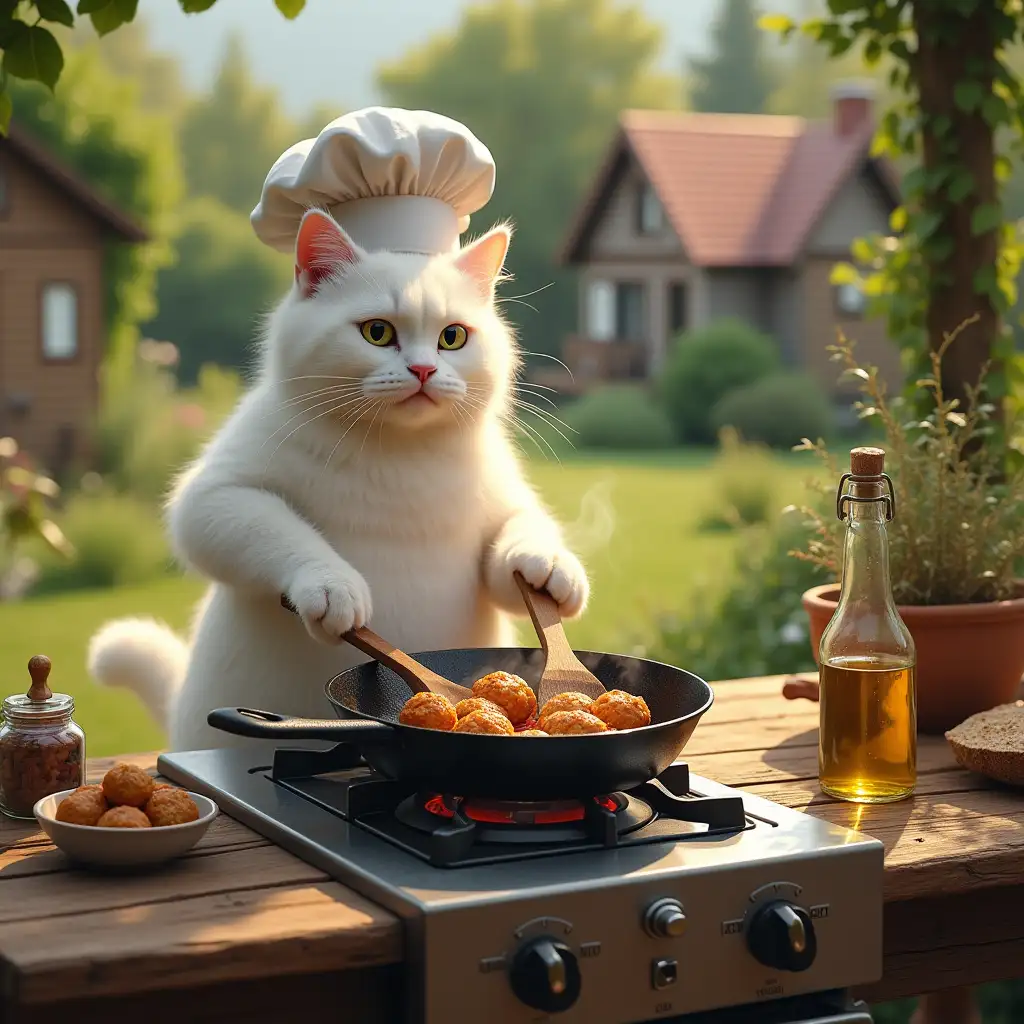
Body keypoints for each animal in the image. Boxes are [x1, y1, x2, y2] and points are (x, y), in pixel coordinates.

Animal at [91, 209, 589, 753]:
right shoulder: (217, 497)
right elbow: (273, 530)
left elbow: (517, 534)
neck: (400, 453)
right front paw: (333, 588)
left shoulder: (501, 503)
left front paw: (549, 566)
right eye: (377, 332)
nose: (423, 368)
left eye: (453, 337)